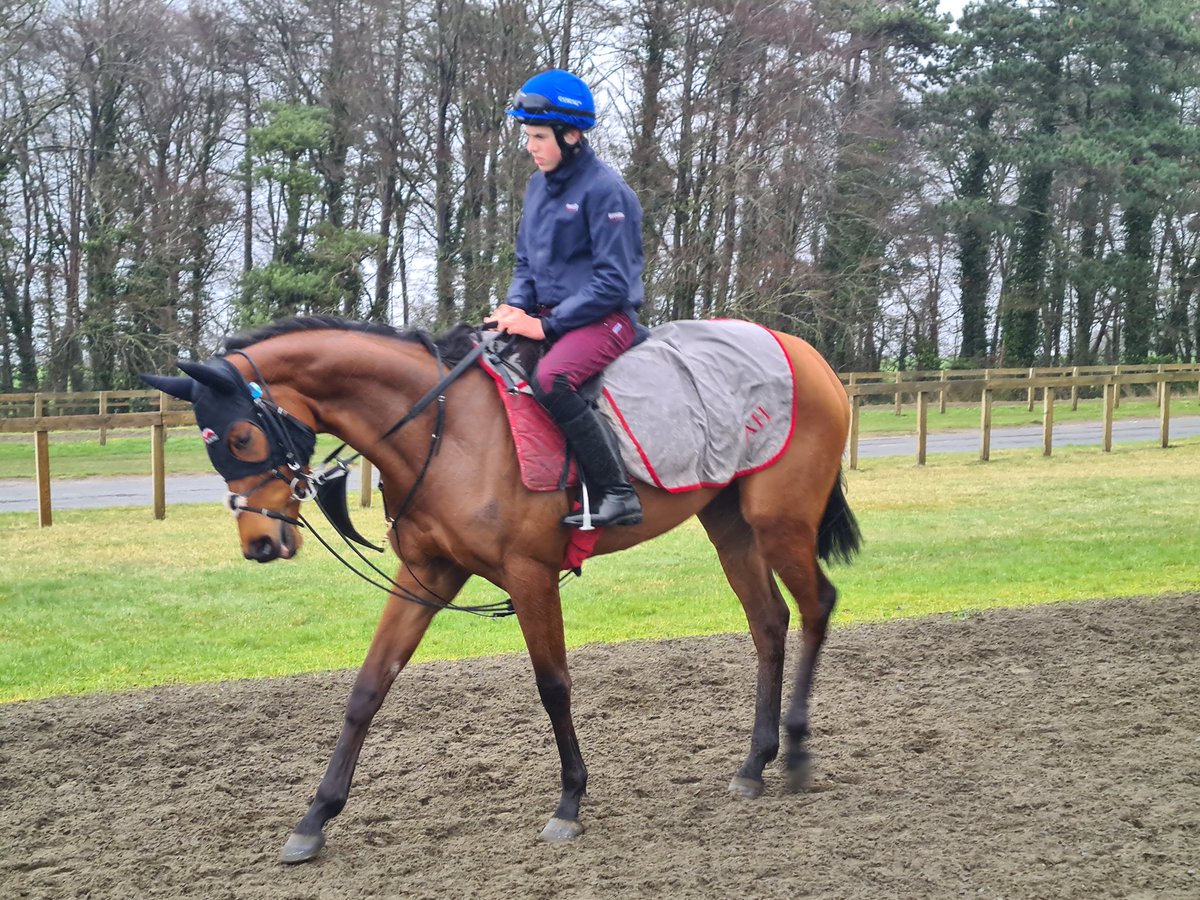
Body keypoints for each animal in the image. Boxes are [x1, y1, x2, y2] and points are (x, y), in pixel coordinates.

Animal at [142, 316, 864, 868]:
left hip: (781, 522)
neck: (446, 430)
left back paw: (797, 751)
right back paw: (755, 764)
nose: (259, 543)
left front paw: (570, 801)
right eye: (211, 446)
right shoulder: (426, 575)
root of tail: (800, 352)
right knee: (769, 622)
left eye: (240, 436)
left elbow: (553, 686)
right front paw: (315, 817)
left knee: (816, 608)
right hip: (730, 523)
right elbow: (368, 689)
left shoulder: (530, 574)